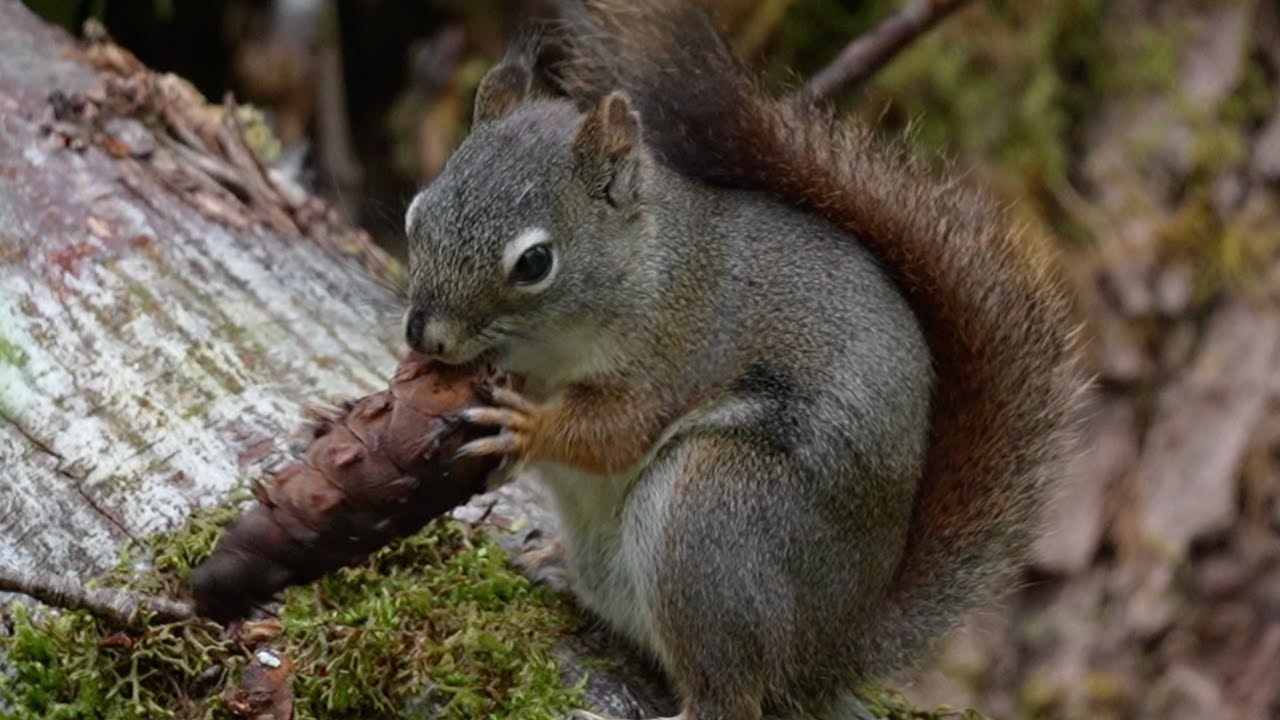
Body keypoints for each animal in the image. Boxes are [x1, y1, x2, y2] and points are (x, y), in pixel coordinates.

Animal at [401, 1, 1084, 718]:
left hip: (715, 513)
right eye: (417, 211)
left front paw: (530, 427)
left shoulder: (678, 348)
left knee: (728, 691)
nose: (424, 335)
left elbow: (617, 431)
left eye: (535, 262)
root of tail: (830, 648)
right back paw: (557, 563)